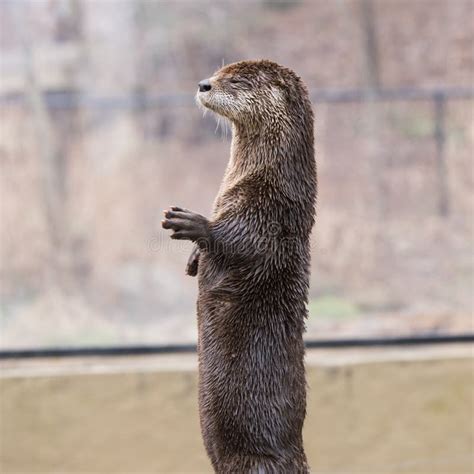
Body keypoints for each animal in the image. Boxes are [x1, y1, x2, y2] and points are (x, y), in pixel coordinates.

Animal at [161, 60, 316, 474]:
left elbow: (239, 240)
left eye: (236, 80)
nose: (204, 84)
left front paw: (193, 224)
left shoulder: (270, 207)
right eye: (217, 71)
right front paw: (193, 259)